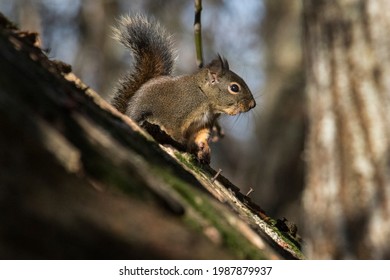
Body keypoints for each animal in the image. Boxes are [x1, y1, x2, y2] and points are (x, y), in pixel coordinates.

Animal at [110, 14, 256, 164]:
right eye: (234, 87)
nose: (252, 104)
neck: (204, 97)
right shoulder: (179, 112)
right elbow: (174, 129)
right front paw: (183, 143)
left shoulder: (205, 123)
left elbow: (201, 136)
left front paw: (204, 149)